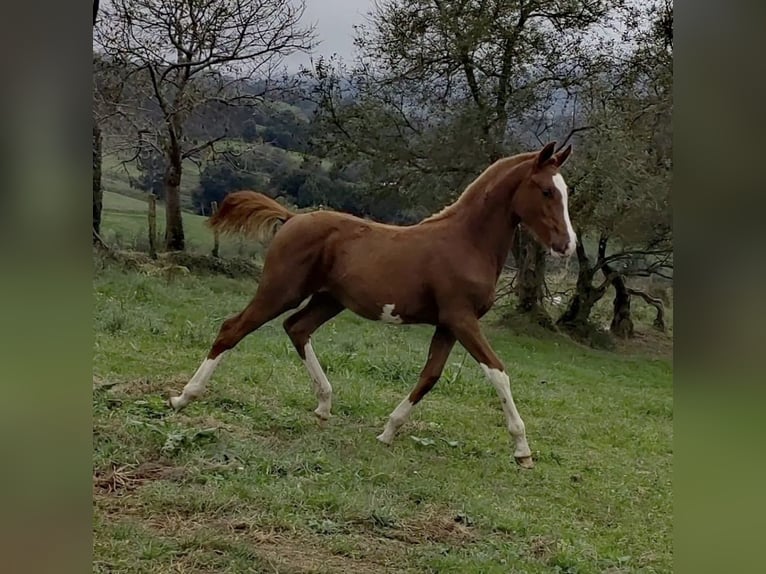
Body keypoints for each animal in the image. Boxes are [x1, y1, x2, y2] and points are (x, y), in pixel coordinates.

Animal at [168, 141, 576, 469]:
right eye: (545, 191)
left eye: (565, 192)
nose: (568, 245)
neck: (466, 242)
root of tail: (294, 217)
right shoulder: (462, 319)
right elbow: (498, 372)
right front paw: (522, 450)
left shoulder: (447, 324)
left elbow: (430, 376)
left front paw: (388, 432)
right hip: (280, 290)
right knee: (233, 328)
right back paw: (184, 397)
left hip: (329, 300)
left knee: (297, 328)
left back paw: (324, 405)